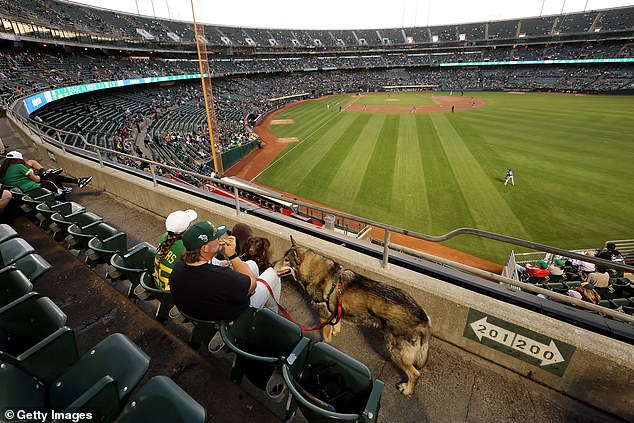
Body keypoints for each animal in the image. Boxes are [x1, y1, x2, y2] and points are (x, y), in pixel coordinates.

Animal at [274, 237, 432, 396]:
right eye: (283, 257)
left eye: (286, 260)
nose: (272, 264)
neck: (316, 272)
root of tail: (423, 316)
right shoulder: (334, 312)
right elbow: (336, 325)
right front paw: (335, 332)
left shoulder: (324, 317)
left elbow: (325, 337)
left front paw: (325, 345)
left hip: (396, 351)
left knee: (415, 374)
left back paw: (407, 389)